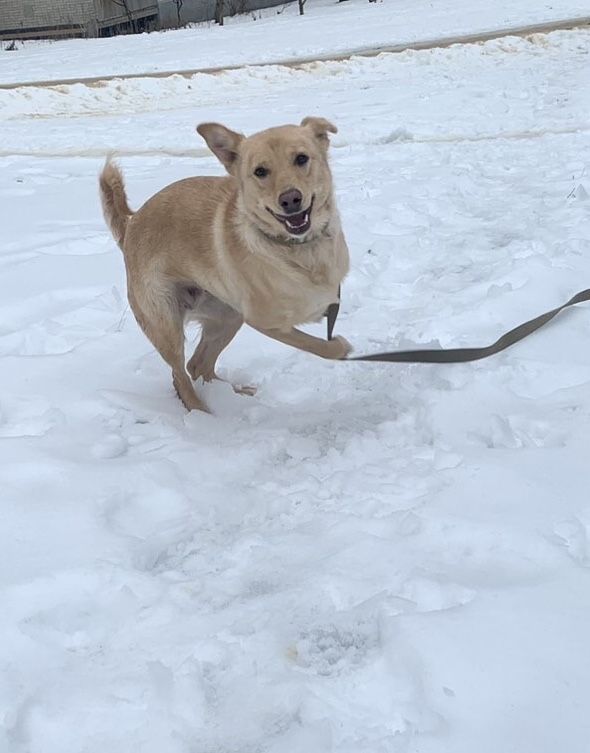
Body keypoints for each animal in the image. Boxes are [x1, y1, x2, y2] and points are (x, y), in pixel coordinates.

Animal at [99, 117, 352, 412]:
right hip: (167, 325)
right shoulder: (265, 322)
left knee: (198, 364)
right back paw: (201, 412)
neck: (298, 249)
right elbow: (317, 346)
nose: (290, 199)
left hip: (227, 316)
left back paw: (234, 394)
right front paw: (340, 347)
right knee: (180, 374)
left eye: (301, 158)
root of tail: (132, 223)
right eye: (260, 171)